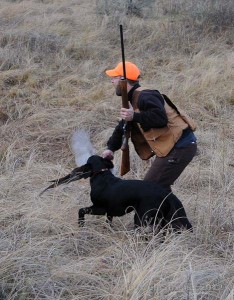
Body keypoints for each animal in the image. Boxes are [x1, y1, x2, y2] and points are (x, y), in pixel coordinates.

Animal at [42, 156, 192, 231]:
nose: (76, 171)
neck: (101, 174)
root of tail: (167, 194)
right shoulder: (109, 212)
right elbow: (108, 223)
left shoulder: (100, 208)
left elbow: (81, 210)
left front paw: (81, 225)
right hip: (161, 218)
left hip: (141, 217)